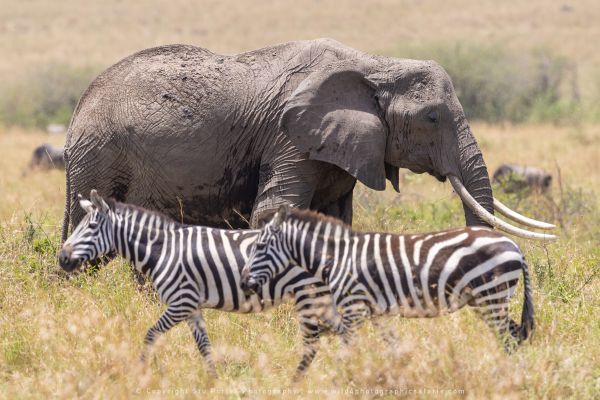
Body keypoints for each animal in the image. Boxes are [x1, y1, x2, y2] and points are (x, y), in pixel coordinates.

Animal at [59, 191, 344, 378]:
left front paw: (140, 371)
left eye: (91, 227)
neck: (162, 251)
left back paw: (299, 381)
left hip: (310, 296)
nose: (62, 258)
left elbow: (150, 334)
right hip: (319, 298)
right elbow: (204, 346)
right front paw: (213, 381)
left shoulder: (181, 302)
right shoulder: (192, 307)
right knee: (340, 331)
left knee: (313, 342)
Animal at [61, 39, 552, 242]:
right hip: (102, 156)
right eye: (432, 117)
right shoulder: (289, 138)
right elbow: (275, 210)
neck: (375, 64)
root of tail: (79, 107)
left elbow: (335, 217)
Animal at [239, 206, 536, 368]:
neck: (338, 258)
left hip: (492, 296)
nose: (243, 282)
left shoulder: (353, 308)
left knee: (508, 339)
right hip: (489, 300)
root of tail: (515, 246)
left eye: (260, 246)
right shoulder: (375, 311)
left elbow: (347, 350)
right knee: (514, 335)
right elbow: (392, 345)